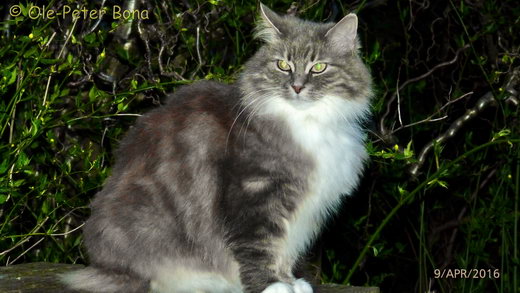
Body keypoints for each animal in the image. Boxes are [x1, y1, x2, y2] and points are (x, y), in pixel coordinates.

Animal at [61, 2, 372, 292]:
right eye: (283, 65)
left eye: (318, 67)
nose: (297, 87)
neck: (308, 122)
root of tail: (101, 266)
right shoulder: (253, 193)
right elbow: (259, 247)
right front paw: (272, 285)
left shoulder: (299, 211)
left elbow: (283, 251)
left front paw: (290, 281)